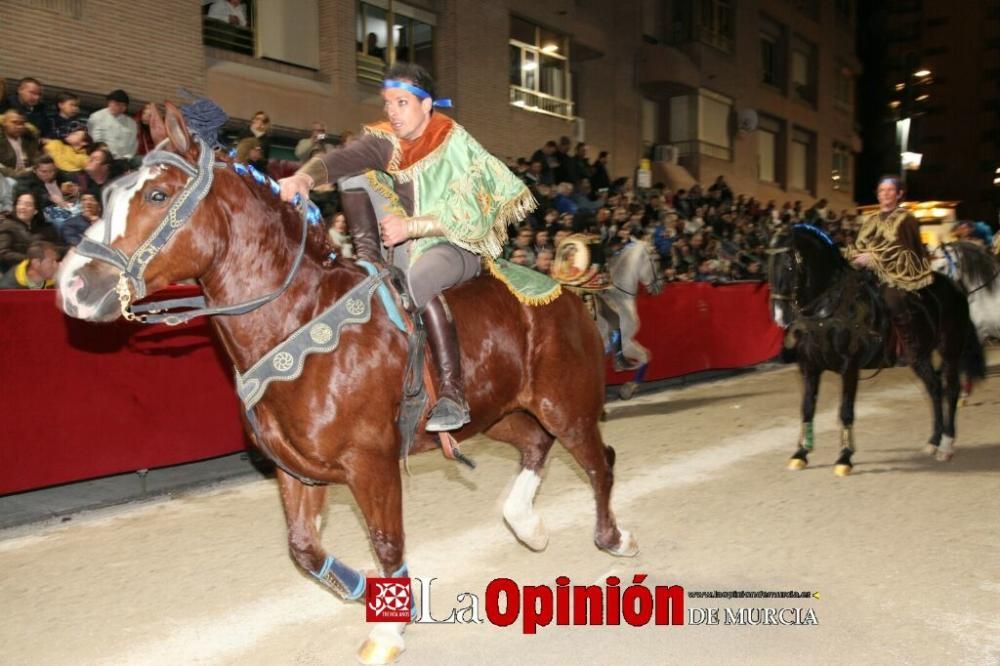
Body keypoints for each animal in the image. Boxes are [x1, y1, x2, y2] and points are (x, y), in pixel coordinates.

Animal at [54, 102, 632, 660]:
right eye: (108, 194)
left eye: (157, 194)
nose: (74, 286)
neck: (299, 320)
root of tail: (566, 290)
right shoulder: (297, 470)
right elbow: (304, 550)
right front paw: (370, 596)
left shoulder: (371, 463)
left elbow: (387, 542)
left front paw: (389, 630)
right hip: (498, 414)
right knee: (536, 446)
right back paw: (529, 527)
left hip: (567, 405)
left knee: (599, 462)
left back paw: (614, 538)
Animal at [592, 236, 664, 396]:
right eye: (656, 259)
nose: (660, 286)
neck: (621, 298)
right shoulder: (626, 343)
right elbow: (645, 357)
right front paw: (628, 387)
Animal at [764, 223, 984, 472]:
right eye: (768, 265)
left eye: (789, 264)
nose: (779, 316)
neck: (827, 312)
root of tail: (954, 286)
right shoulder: (809, 367)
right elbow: (807, 407)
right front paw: (801, 453)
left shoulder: (849, 367)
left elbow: (846, 411)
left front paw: (844, 457)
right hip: (919, 356)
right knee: (935, 388)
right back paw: (933, 441)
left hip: (949, 349)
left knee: (951, 389)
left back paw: (946, 444)